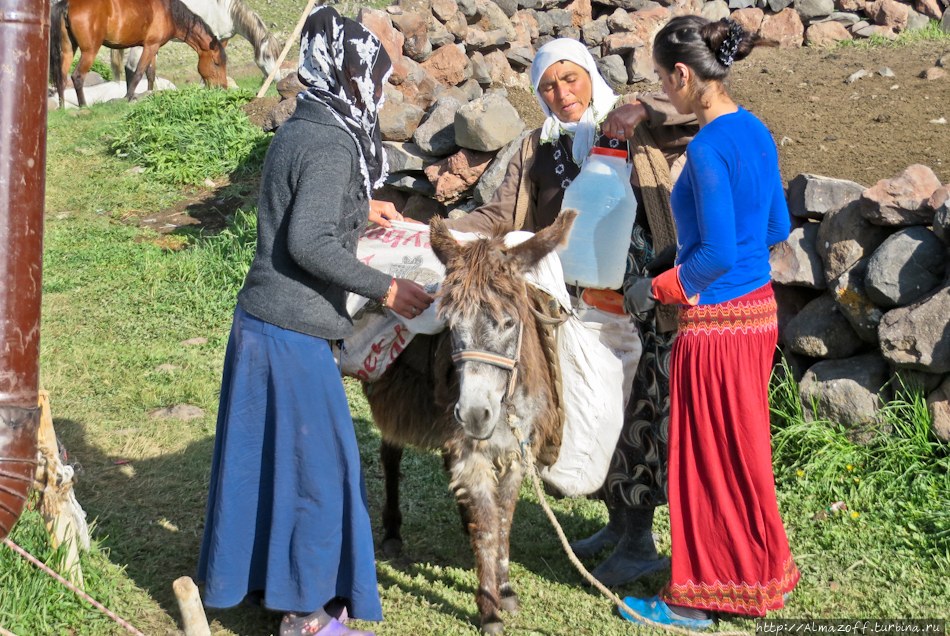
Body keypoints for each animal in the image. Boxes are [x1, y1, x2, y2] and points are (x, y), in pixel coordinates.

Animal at [51, 0, 230, 108]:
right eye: (217, 63)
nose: (223, 88)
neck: (168, 13)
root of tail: (68, 3)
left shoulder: (154, 47)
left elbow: (150, 74)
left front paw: (149, 93)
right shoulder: (150, 46)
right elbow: (139, 72)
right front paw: (128, 97)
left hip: (68, 49)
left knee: (62, 77)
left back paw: (62, 107)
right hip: (90, 51)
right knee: (77, 76)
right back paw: (83, 105)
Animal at [362, 211, 572, 632]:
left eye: (509, 322)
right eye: (451, 326)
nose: (474, 413)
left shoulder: (516, 452)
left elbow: (503, 519)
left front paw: (504, 589)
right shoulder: (470, 451)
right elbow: (488, 527)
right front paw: (489, 608)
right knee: (390, 456)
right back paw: (392, 531)